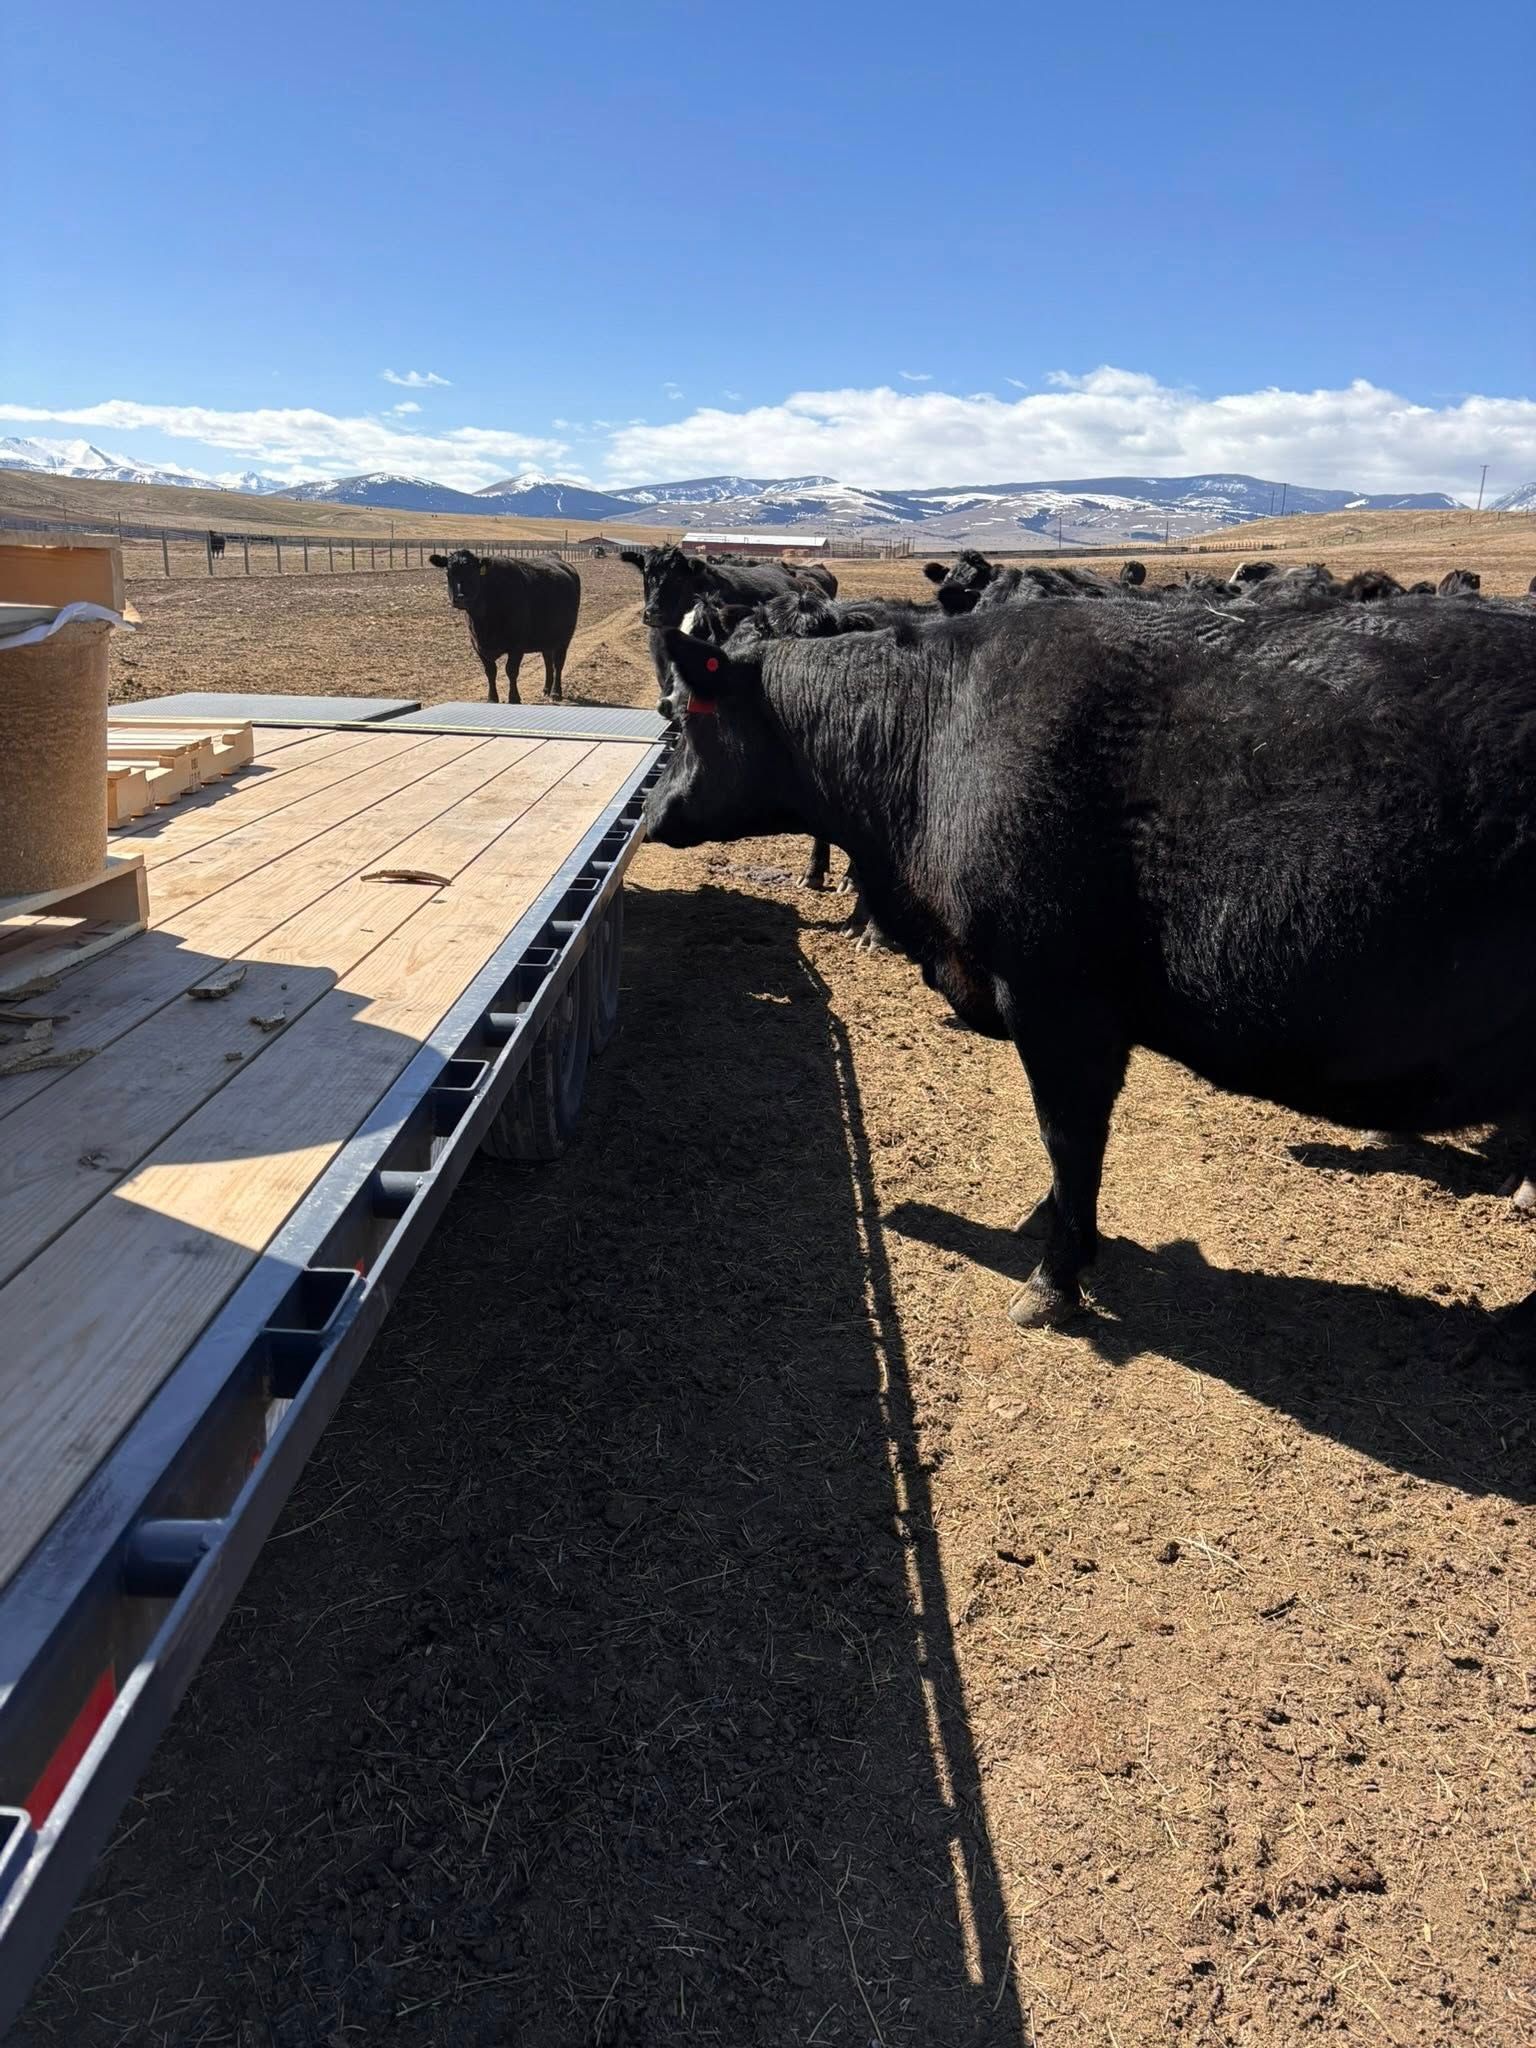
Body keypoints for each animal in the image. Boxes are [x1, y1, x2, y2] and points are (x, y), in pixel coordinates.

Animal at [427, 548, 580, 703]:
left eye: (473, 572)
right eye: (449, 573)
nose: (460, 598)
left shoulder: (517, 645)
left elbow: (511, 670)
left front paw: (514, 698)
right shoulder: (477, 645)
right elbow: (490, 672)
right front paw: (492, 698)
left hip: (565, 637)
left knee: (558, 663)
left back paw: (556, 692)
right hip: (546, 637)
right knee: (547, 661)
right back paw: (546, 689)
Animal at [646, 589, 1536, 1340]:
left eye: (679, 718)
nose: (651, 815)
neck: (936, 738)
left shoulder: (1057, 1001)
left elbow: (1070, 1138)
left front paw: (1054, 1278)